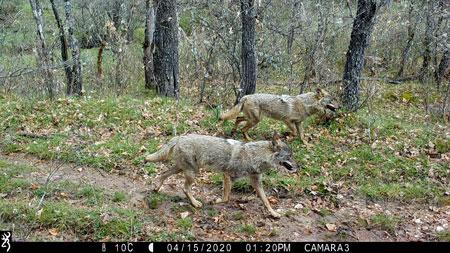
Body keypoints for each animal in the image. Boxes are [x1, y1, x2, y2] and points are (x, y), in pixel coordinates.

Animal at [145, 132, 298, 217]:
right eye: (289, 156)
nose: (298, 167)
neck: (254, 156)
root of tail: (180, 137)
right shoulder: (227, 176)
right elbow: (226, 198)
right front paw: (215, 201)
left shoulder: (256, 182)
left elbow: (266, 201)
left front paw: (274, 213)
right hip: (192, 173)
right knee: (185, 188)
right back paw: (195, 203)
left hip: (182, 169)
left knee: (163, 174)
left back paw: (157, 188)